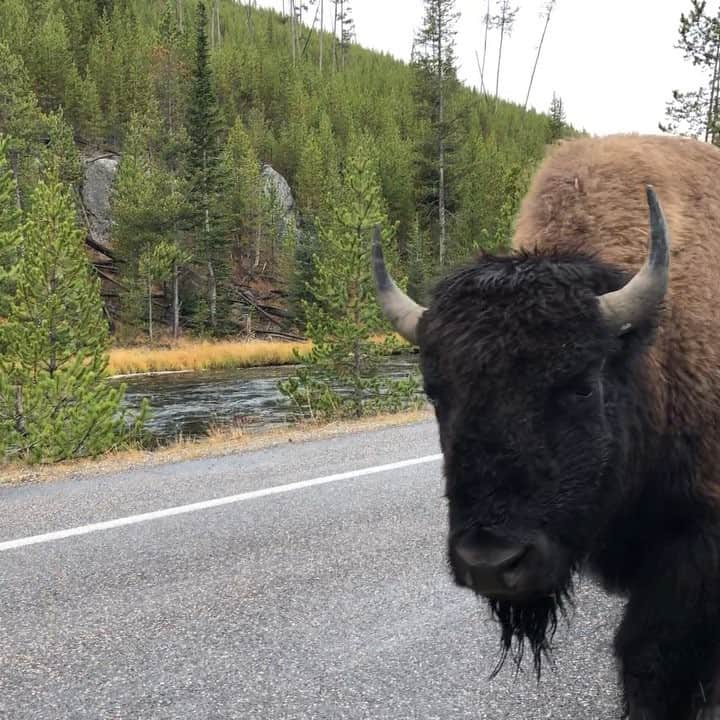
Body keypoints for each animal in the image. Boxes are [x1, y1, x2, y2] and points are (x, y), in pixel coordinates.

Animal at [374, 135, 720, 720]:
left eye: (581, 384)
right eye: (434, 392)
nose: (491, 562)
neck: (650, 349)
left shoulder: (693, 549)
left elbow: (650, 659)